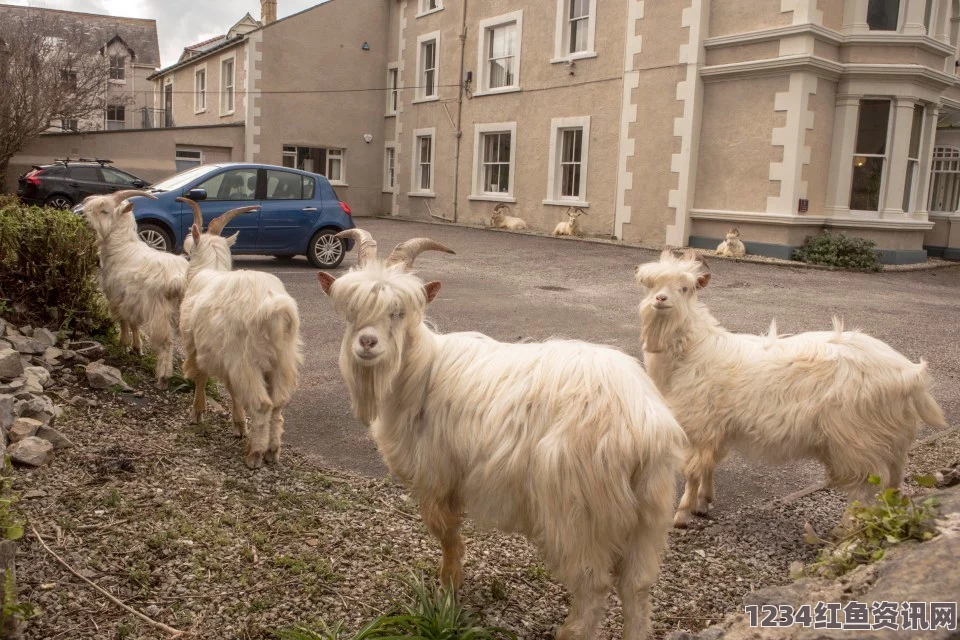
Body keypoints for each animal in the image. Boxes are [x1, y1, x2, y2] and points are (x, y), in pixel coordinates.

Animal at [84, 189, 188, 390]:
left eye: (105, 211)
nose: (84, 220)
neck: (121, 247)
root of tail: (180, 279)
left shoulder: (117, 297)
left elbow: (124, 321)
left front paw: (123, 345)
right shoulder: (133, 301)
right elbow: (134, 323)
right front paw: (137, 348)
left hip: (160, 313)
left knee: (166, 343)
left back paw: (163, 378)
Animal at [178, 198, 302, 468]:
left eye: (188, 251)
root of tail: (274, 307)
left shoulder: (197, 346)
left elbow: (201, 377)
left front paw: (197, 413)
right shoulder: (226, 359)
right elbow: (233, 390)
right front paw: (239, 425)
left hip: (247, 359)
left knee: (263, 404)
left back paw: (254, 454)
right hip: (282, 361)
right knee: (278, 404)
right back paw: (272, 450)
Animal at [318, 230, 688, 640]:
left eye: (398, 312)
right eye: (351, 312)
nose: (367, 343)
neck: (420, 370)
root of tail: (644, 424)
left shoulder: (436, 477)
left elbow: (447, 535)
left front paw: (448, 589)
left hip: (577, 513)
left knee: (594, 585)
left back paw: (568, 631)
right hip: (648, 514)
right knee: (637, 587)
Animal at [632, 249, 948, 524]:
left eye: (685, 288)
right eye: (650, 285)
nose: (660, 299)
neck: (694, 349)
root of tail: (910, 374)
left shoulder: (699, 424)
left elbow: (693, 471)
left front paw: (682, 514)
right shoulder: (716, 428)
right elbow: (709, 466)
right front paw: (703, 503)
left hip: (857, 440)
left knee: (864, 487)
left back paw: (846, 529)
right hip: (894, 441)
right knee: (893, 483)